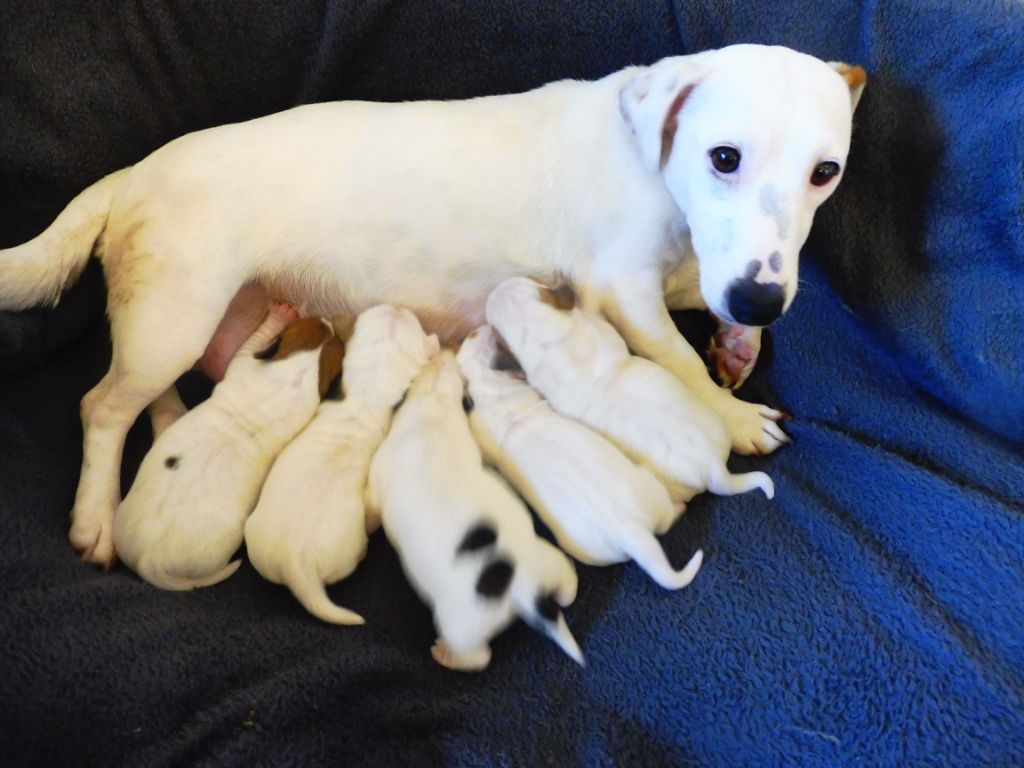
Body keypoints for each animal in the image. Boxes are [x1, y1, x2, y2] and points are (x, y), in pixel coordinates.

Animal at [112, 309, 344, 593]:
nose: (327, 321)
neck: (299, 371)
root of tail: (149, 562)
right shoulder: (246, 364)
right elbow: (252, 342)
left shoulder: (245, 362)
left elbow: (253, 340)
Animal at [366, 352, 585, 671]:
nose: (444, 353)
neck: (435, 400)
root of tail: (525, 589)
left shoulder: (378, 476)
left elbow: (370, 506)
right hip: (548, 559)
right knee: (567, 585)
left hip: (459, 624)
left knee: (480, 657)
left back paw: (445, 654)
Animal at [456, 327, 704, 593]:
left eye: (470, 337)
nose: (480, 327)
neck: (490, 389)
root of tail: (631, 531)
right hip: (649, 488)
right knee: (667, 519)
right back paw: (679, 507)